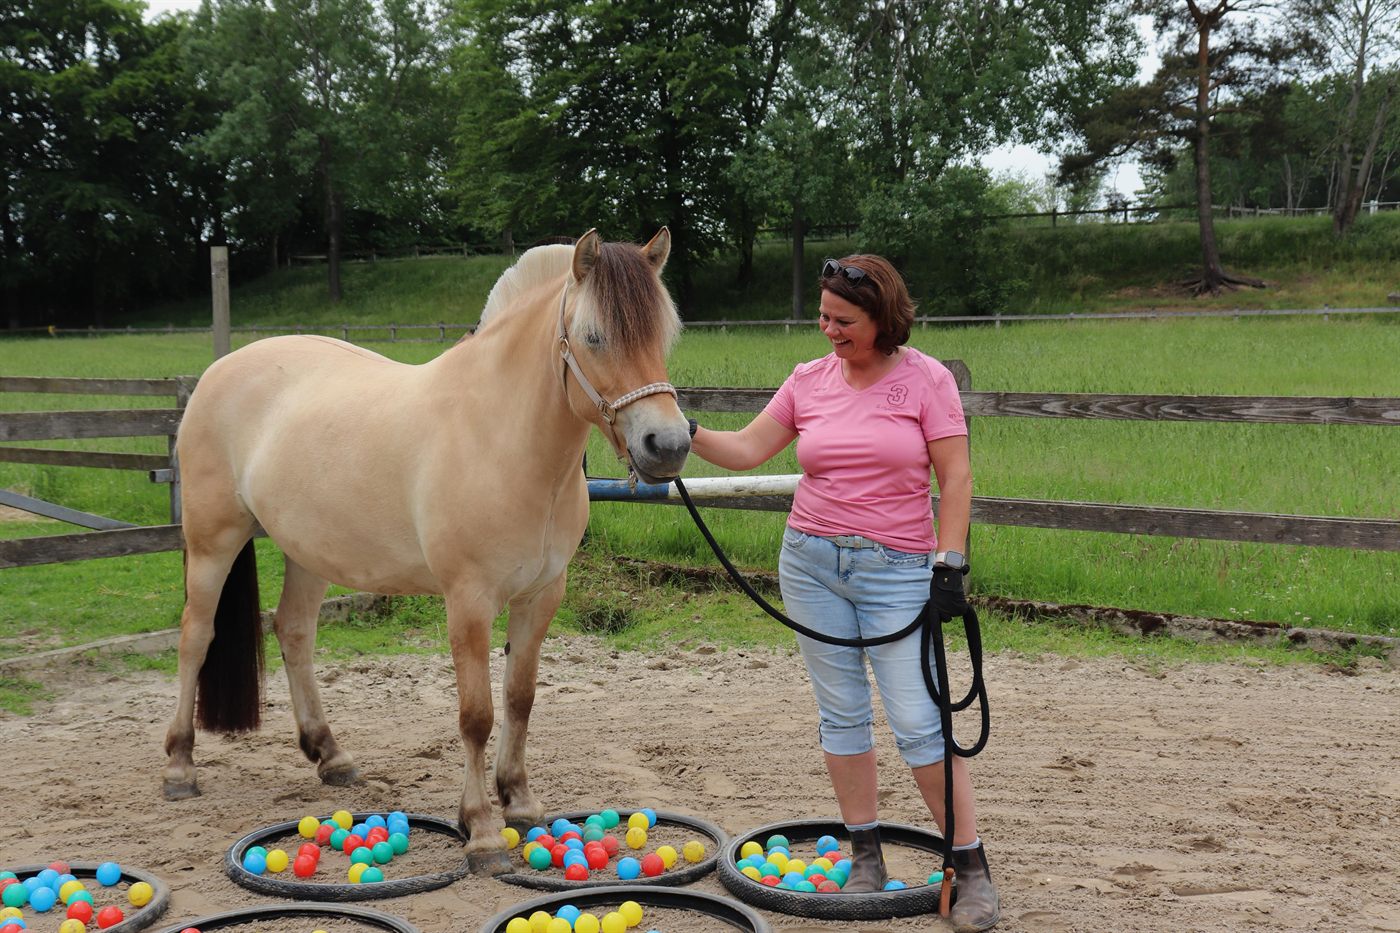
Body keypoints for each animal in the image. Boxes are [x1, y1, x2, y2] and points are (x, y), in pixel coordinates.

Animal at [160, 229, 690, 872]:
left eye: (664, 335)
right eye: (594, 336)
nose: (667, 445)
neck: (500, 437)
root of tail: (217, 372)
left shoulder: (541, 596)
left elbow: (519, 698)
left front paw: (521, 802)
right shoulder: (468, 600)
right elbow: (476, 715)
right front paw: (482, 831)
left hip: (308, 551)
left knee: (294, 631)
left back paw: (330, 755)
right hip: (213, 541)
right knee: (196, 636)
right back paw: (180, 766)